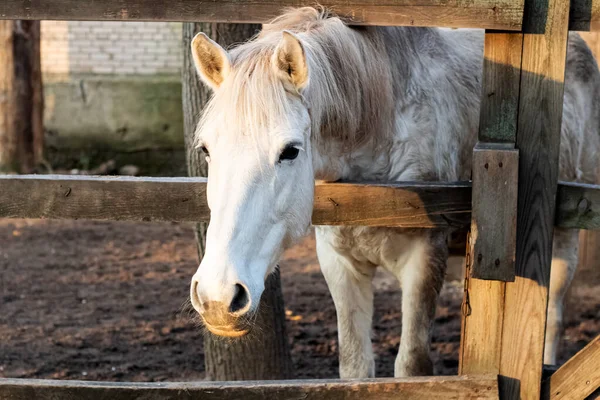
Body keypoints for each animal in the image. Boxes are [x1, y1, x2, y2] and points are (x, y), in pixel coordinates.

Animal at [189, 7, 600, 376]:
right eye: (206, 150)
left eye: (290, 151)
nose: (218, 297)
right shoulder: (340, 265)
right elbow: (355, 366)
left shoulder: (423, 261)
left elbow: (411, 366)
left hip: (562, 242)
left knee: (552, 321)